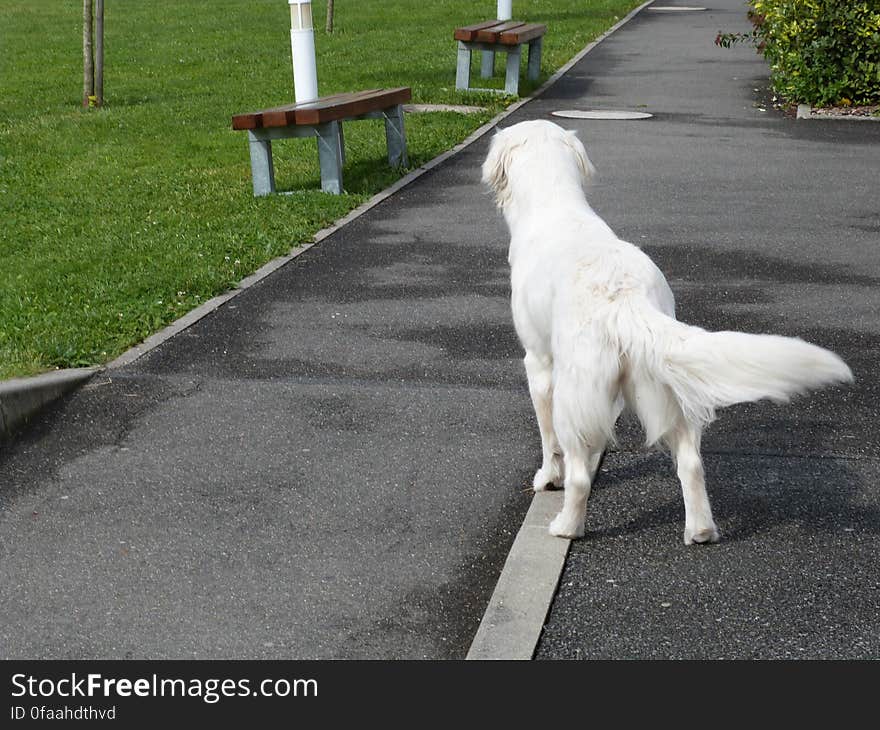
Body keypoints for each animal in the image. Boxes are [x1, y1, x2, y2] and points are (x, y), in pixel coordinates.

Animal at [482, 119, 852, 540]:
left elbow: (549, 441)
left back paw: (566, 526)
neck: (554, 203)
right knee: (691, 462)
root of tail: (625, 298)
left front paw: (547, 478)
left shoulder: (539, 364)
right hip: (665, 384)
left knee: (579, 475)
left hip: (576, 392)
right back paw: (701, 530)